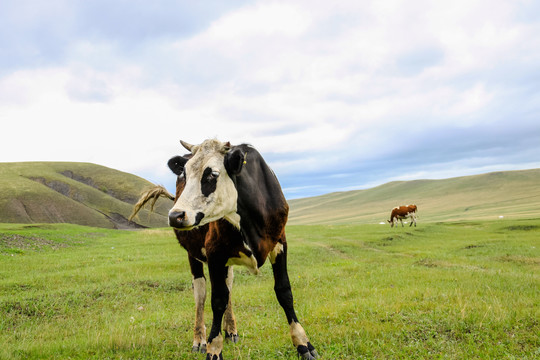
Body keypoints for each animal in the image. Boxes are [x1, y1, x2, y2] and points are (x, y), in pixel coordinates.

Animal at [167, 140, 316, 360]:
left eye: (212, 174)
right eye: (184, 174)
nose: (175, 215)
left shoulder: (280, 243)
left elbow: (284, 291)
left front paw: (303, 343)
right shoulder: (214, 254)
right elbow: (217, 300)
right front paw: (213, 348)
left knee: (228, 285)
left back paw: (231, 330)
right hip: (193, 254)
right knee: (200, 293)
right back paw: (199, 339)